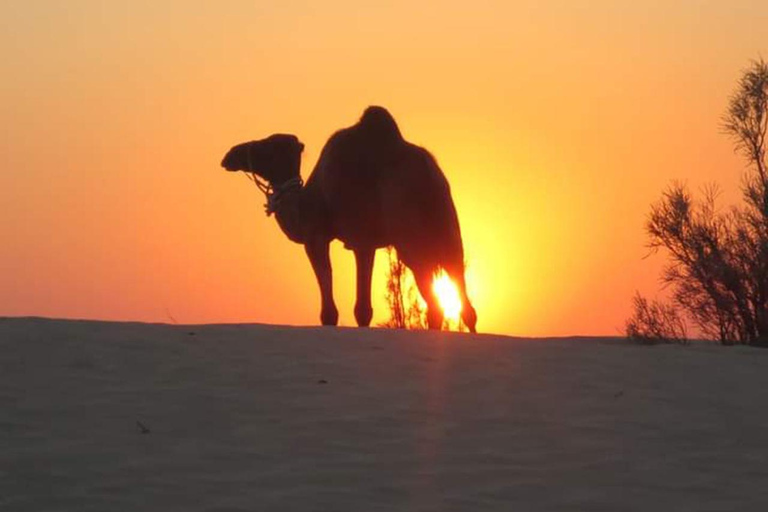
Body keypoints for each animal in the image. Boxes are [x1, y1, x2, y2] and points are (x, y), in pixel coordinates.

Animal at [219, 107, 476, 332]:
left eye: (266, 147)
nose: (230, 155)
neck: (308, 203)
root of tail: (429, 176)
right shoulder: (365, 243)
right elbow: (364, 310)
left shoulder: (326, 237)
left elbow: (338, 311)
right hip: (450, 234)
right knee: (465, 304)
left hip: (410, 238)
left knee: (436, 304)